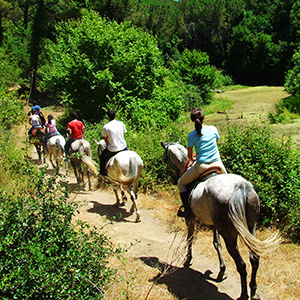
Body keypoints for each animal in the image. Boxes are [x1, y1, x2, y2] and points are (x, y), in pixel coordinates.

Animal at [162, 141, 282, 300]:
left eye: (165, 157)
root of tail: (241, 188)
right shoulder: (215, 224)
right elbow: (216, 243)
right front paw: (221, 271)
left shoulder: (191, 219)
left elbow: (190, 238)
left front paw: (188, 260)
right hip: (251, 227)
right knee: (254, 258)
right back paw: (253, 290)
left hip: (229, 233)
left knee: (241, 264)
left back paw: (244, 295)